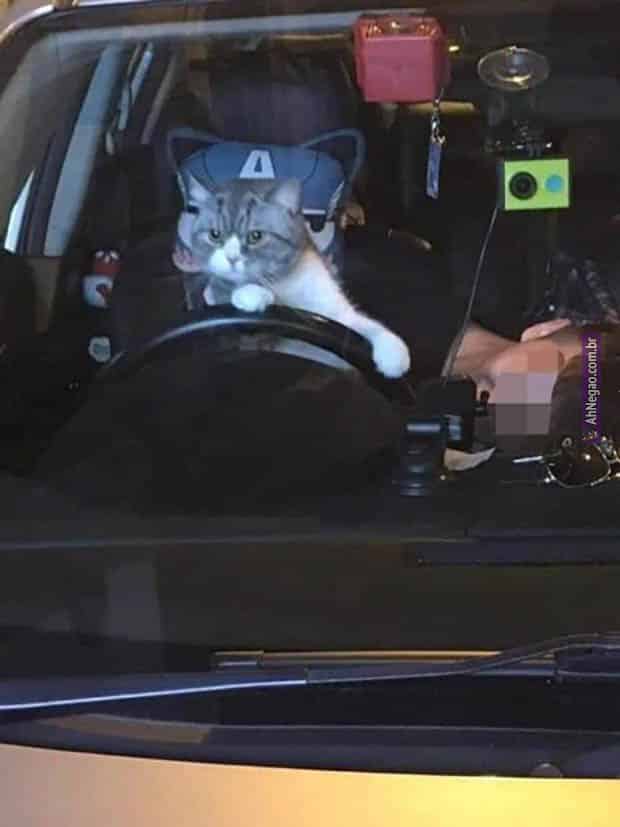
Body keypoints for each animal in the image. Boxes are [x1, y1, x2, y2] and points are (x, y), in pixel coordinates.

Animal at [172, 176, 411, 379]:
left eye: (256, 236)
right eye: (215, 235)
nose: (231, 257)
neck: (284, 280)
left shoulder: (335, 315)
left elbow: (362, 325)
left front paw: (393, 352)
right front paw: (250, 293)